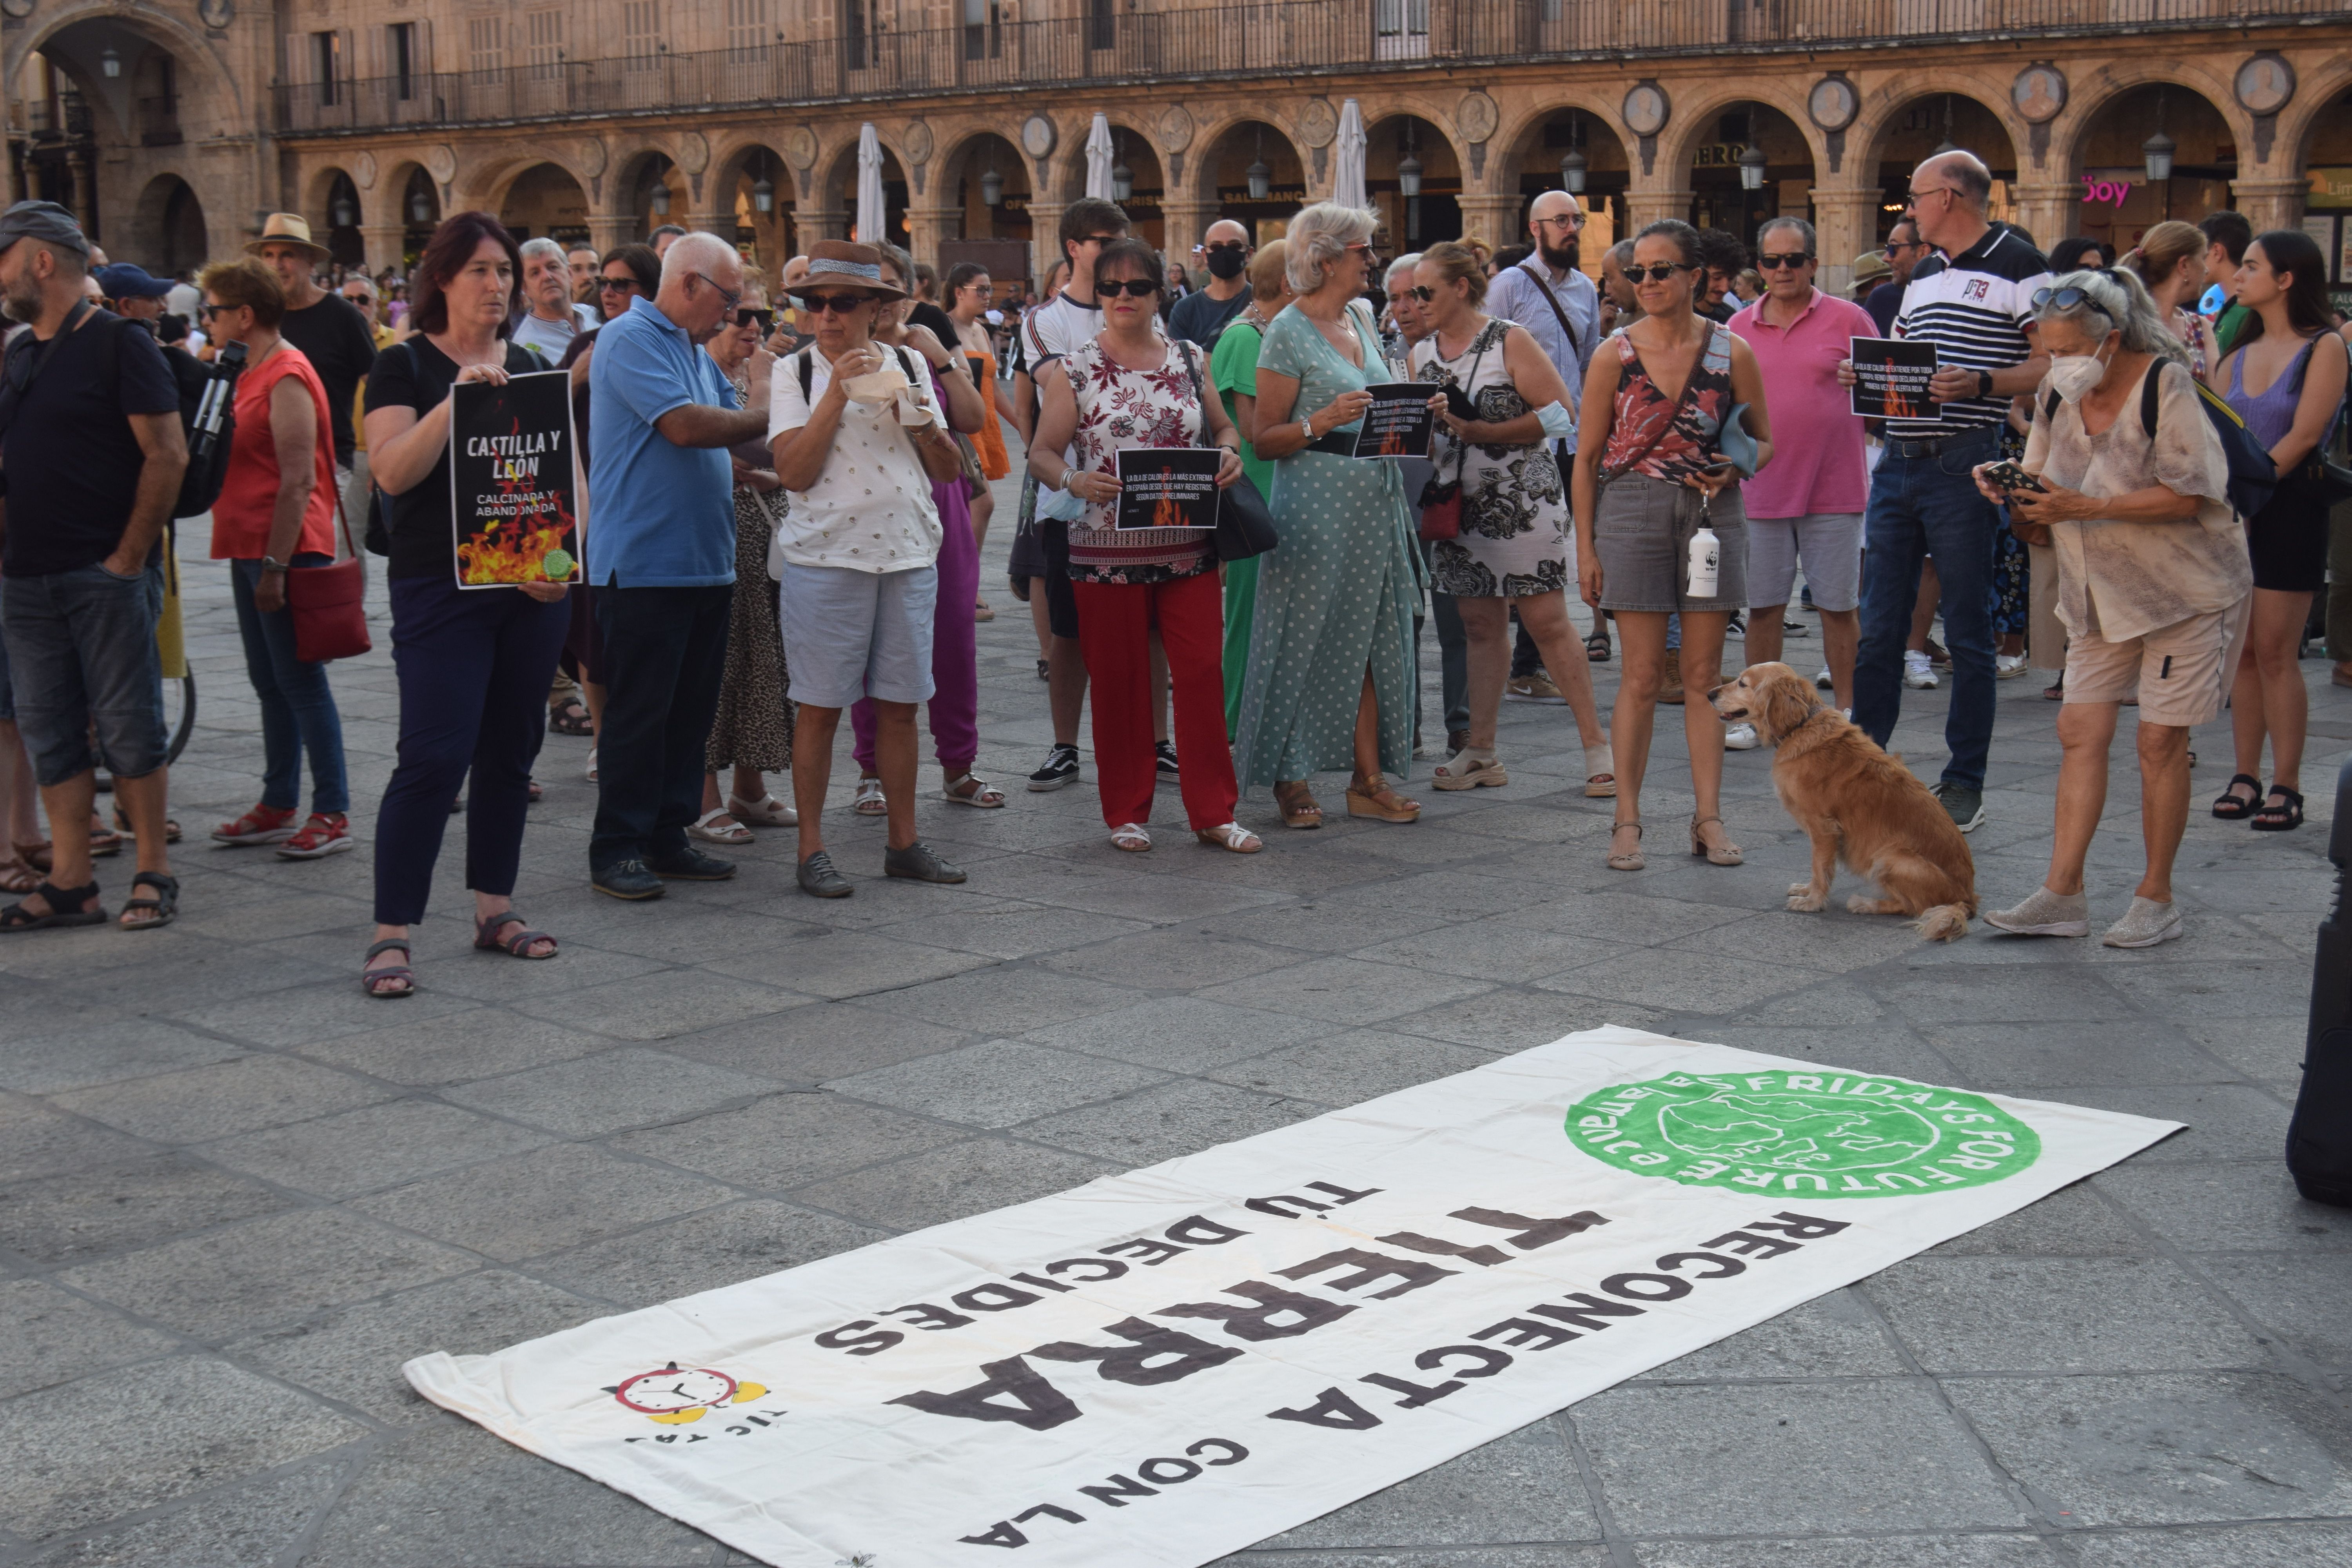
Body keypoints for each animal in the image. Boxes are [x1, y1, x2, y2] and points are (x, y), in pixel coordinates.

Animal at [1703, 668, 1976, 940]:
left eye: (1743, 684)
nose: (1709, 694)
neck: (1801, 726)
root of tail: (1967, 899)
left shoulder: (1824, 828)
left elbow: (1820, 868)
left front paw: (1813, 903)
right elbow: (1819, 869)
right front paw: (1807, 890)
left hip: (1890, 858)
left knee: (1912, 907)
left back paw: (1866, 904)